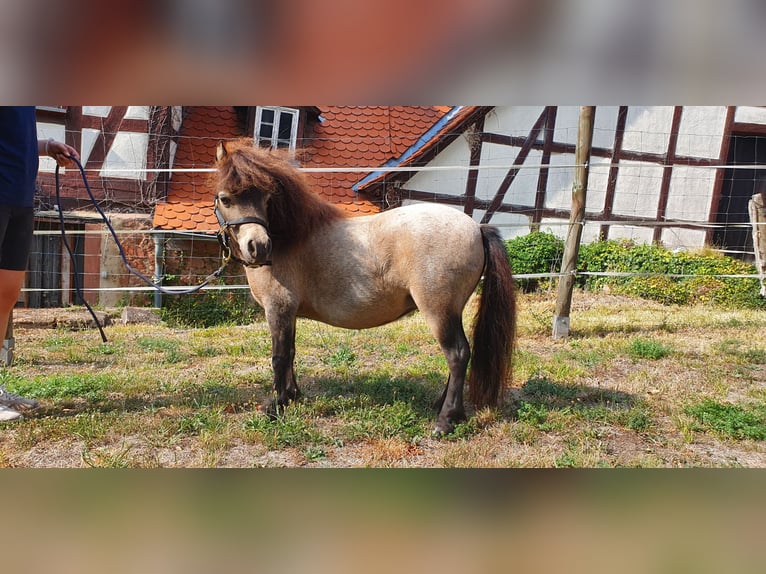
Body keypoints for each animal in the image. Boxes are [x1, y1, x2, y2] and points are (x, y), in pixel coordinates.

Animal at [212, 139, 517, 435]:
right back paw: (444, 406)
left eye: (266, 198)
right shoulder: (288, 313)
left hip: (438, 310)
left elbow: (279, 356)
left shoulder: (278, 309)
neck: (291, 238)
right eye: (226, 198)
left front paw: (276, 405)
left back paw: (446, 420)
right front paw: (292, 395)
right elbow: (291, 353)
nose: (259, 247)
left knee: (457, 354)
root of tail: (476, 228)